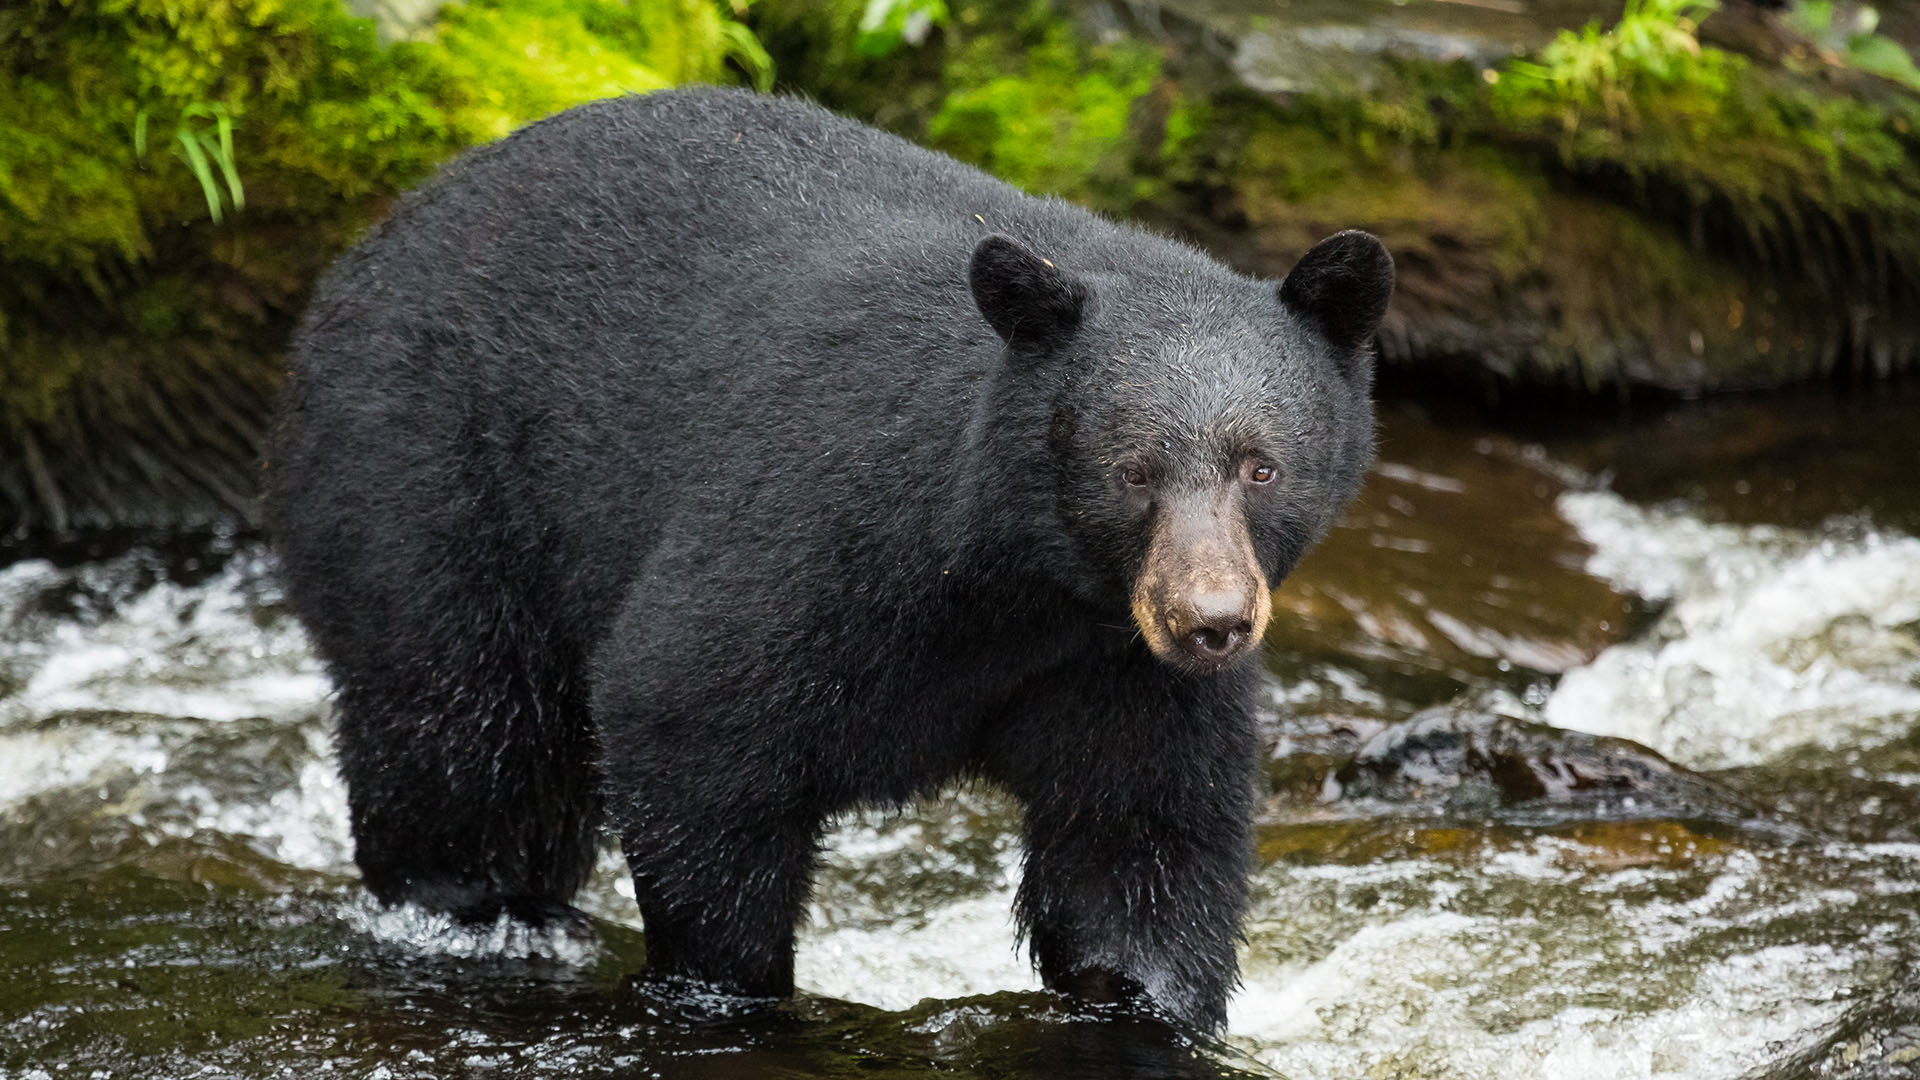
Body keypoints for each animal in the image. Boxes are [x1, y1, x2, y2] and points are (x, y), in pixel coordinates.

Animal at [267, 85, 1390, 1032]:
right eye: (1134, 471)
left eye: (1261, 466)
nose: (1211, 622)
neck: (1014, 583)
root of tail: (374, 238)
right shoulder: (820, 532)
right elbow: (687, 710)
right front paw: (731, 985)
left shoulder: (1114, 668)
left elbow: (1139, 843)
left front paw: (1147, 999)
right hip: (429, 475)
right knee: (465, 729)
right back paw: (486, 909)